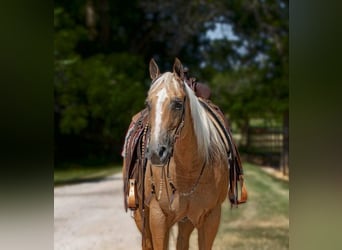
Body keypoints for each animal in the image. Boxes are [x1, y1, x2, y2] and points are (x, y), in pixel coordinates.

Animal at [128, 58, 230, 248]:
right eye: (148, 104)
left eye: (177, 104)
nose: (156, 152)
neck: (188, 172)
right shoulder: (158, 216)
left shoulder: (211, 217)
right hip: (141, 215)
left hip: (186, 221)